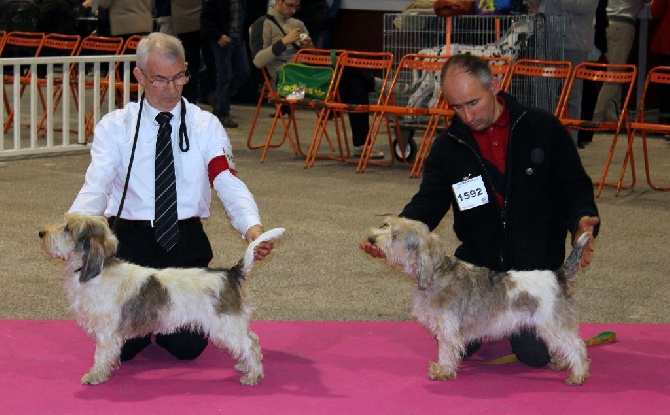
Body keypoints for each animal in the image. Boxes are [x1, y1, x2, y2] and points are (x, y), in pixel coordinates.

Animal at [39, 214, 286, 386]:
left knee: (251, 344)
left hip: (225, 326)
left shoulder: (107, 333)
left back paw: (253, 375)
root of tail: (230, 274)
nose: (41, 233)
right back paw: (245, 366)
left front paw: (95, 375)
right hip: (231, 324)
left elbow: (101, 355)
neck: (99, 271)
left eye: (67, 228)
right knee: (251, 338)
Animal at [368, 218, 592, 386]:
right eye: (385, 225)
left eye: (395, 236)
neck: (437, 275)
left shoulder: (448, 330)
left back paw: (578, 375)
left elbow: (446, 351)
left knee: (577, 346)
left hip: (553, 325)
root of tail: (558, 276)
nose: (371, 239)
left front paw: (443, 372)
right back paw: (562, 364)